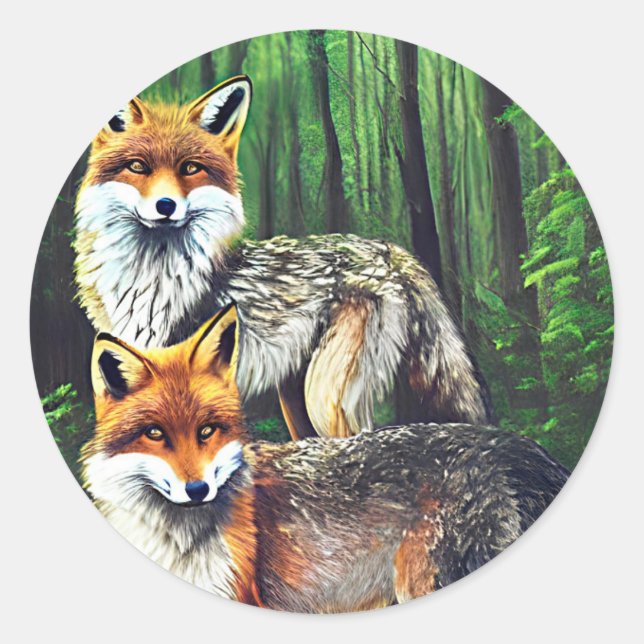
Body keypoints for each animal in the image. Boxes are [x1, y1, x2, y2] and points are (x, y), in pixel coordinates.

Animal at [74, 74, 492, 441]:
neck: (150, 278)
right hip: (296, 402)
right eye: (138, 166)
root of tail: (390, 249)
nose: (166, 206)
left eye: (190, 168)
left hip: (325, 398)